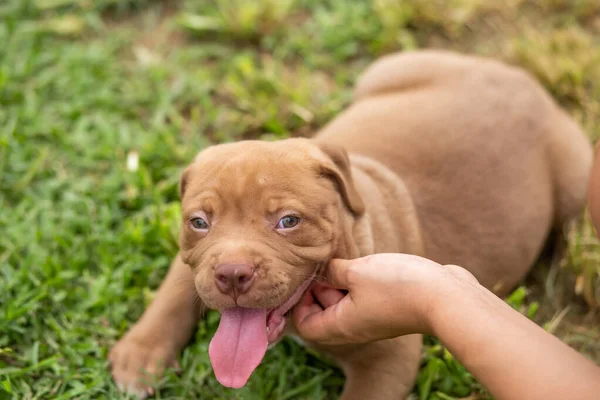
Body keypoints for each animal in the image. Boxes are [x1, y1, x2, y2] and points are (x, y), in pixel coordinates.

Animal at [110, 50, 592, 400]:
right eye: (199, 222)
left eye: (288, 221)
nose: (231, 274)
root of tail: (521, 77)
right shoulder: (188, 259)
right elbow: (174, 292)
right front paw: (141, 355)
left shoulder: (389, 360)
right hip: (388, 70)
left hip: (578, 180)